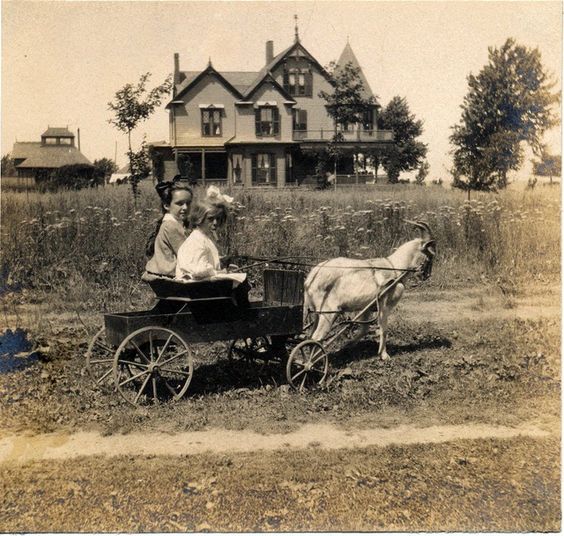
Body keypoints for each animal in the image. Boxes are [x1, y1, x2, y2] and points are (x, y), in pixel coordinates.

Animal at [304, 220, 436, 362]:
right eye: (431, 254)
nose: (426, 275)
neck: (394, 267)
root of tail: (311, 278)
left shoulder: (366, 308)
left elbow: (364, 329)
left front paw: (346, 346)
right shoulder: (385, 304)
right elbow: (383, 328)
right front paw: (384, 355)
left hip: (317, 313)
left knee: (310, 336)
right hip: (328, 313)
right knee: (316, 337)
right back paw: (313, 362)